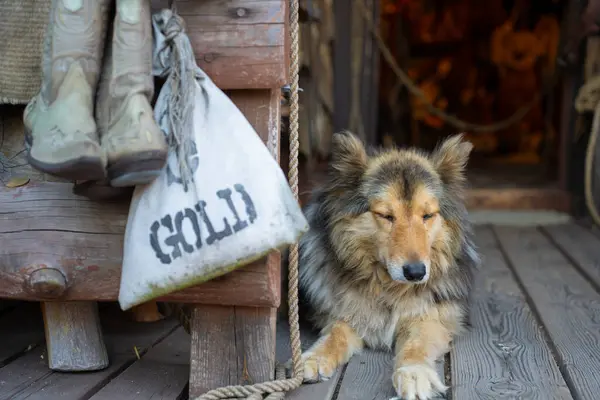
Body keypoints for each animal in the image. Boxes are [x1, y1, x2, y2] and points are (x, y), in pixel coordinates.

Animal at [298, 132, 480, 400]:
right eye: (386, 216)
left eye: (427, 216)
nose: (416, 273)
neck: (388, 287)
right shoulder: (346, 314)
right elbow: (336, 333)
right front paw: (316, 357)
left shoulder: (430, 318)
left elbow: (416, 345)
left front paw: (414, 373)